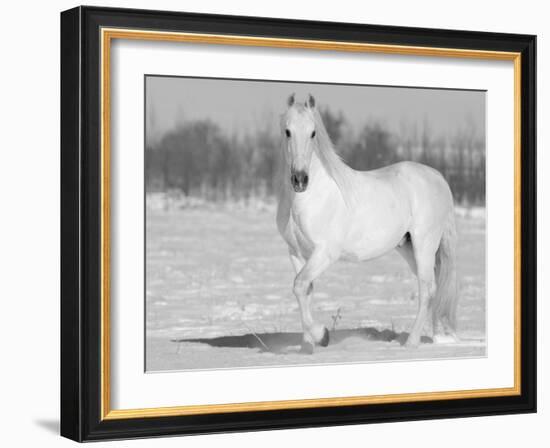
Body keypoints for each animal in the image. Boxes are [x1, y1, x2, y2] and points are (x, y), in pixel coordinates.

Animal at [276, 94, 462, 354]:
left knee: (427, 289)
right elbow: (305, 291)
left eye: (313, 133)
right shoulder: (296, 253)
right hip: (408, 248)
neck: (310, 198)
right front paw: (307, 347)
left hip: (424, 246)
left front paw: (322, 336)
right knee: (433, 287)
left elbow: (300, 285)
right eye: (287, 131)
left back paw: (411, 343)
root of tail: (438, 177)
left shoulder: (325, 253)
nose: (300, 179)